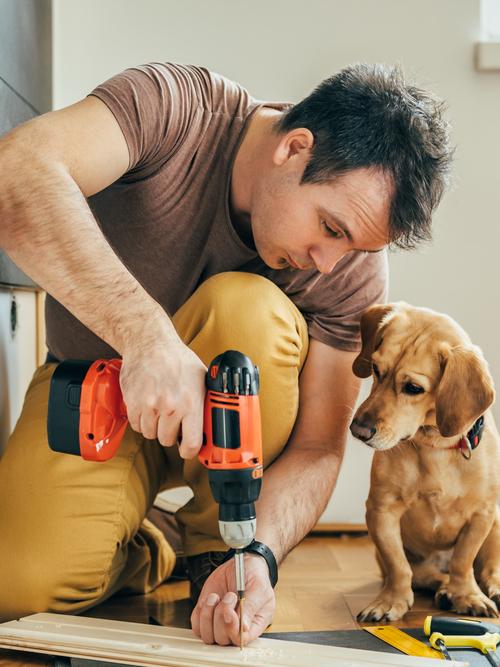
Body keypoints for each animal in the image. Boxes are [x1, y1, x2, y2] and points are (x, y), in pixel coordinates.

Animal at [352, 302, 500, 620]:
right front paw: (390, 601)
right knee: (425, 575)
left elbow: (463, 561)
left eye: (413, 388)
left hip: (497, 523)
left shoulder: (481, 515)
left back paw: (490, 588)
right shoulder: (381, 511)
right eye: (375, 369)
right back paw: (442, 589)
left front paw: (467, 595)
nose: (358, 430)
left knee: (489, 567)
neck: (435, 447)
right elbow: (398, 566)